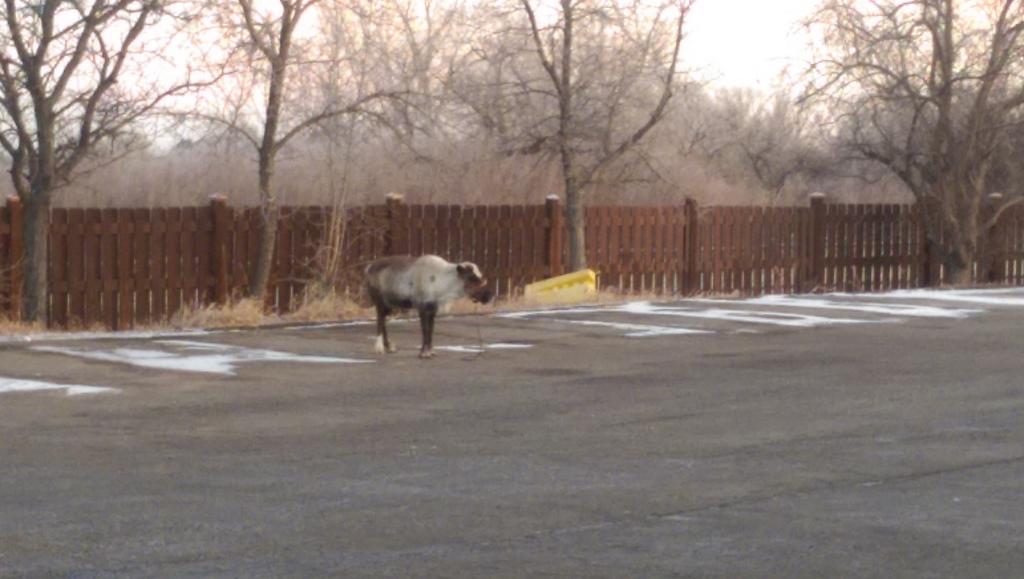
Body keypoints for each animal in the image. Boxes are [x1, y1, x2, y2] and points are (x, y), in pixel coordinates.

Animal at [365, 255, 493, 359]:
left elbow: (431, 330)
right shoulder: (421, 306)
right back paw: (379, 348)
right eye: (472, 278)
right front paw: (423, 353)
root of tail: (369, 267)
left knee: (383, 321)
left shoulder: (433, 308)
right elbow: (425, 330)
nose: (489, 295)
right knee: (380, 320)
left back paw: (389, 346)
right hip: (379, 302)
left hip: (390, 304)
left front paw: (431, 352)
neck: (443, 283)